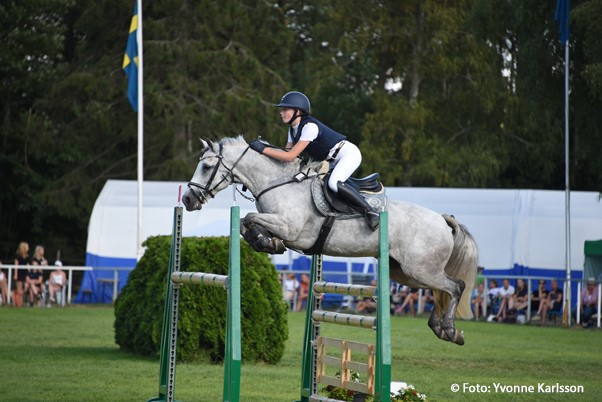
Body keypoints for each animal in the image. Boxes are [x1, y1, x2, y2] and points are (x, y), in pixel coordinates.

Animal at [180, 137, 476, 344]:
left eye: (207, 166)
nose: (188, 199)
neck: (277, 183)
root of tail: (442, 220)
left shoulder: (290, 228)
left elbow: (250, 217)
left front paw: (267, 242)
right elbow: (246, 222)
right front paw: (268, 243)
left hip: (421, 269)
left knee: (455, 287)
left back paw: (450, 330)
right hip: (406, 273)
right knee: (441, 291)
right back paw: (440, 328)